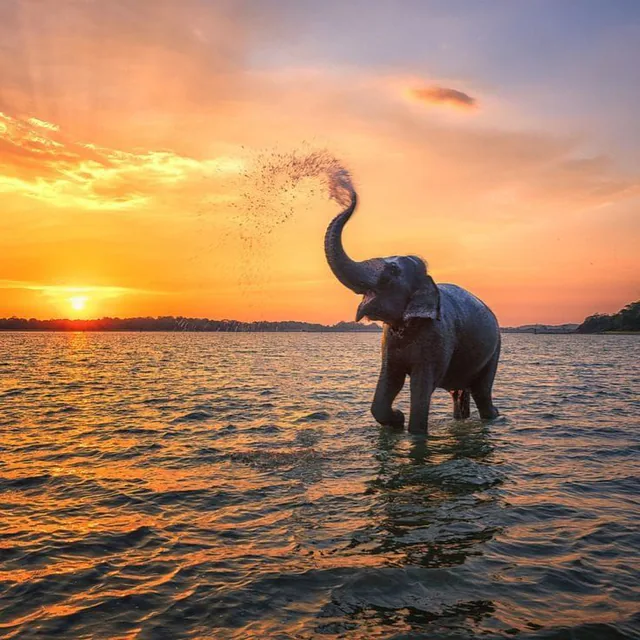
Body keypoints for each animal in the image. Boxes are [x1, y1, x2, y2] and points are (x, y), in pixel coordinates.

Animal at [324, 189, 500, 433]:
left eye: (392, 270)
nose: (351, 196)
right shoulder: (388, 344)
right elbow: (390, 379)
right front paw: (396, 420)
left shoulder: (438, 339)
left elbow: (421, 384)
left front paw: (413, 431)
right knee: (460, 394)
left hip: (494, 351)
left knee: (482, 392)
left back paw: (495, 417)